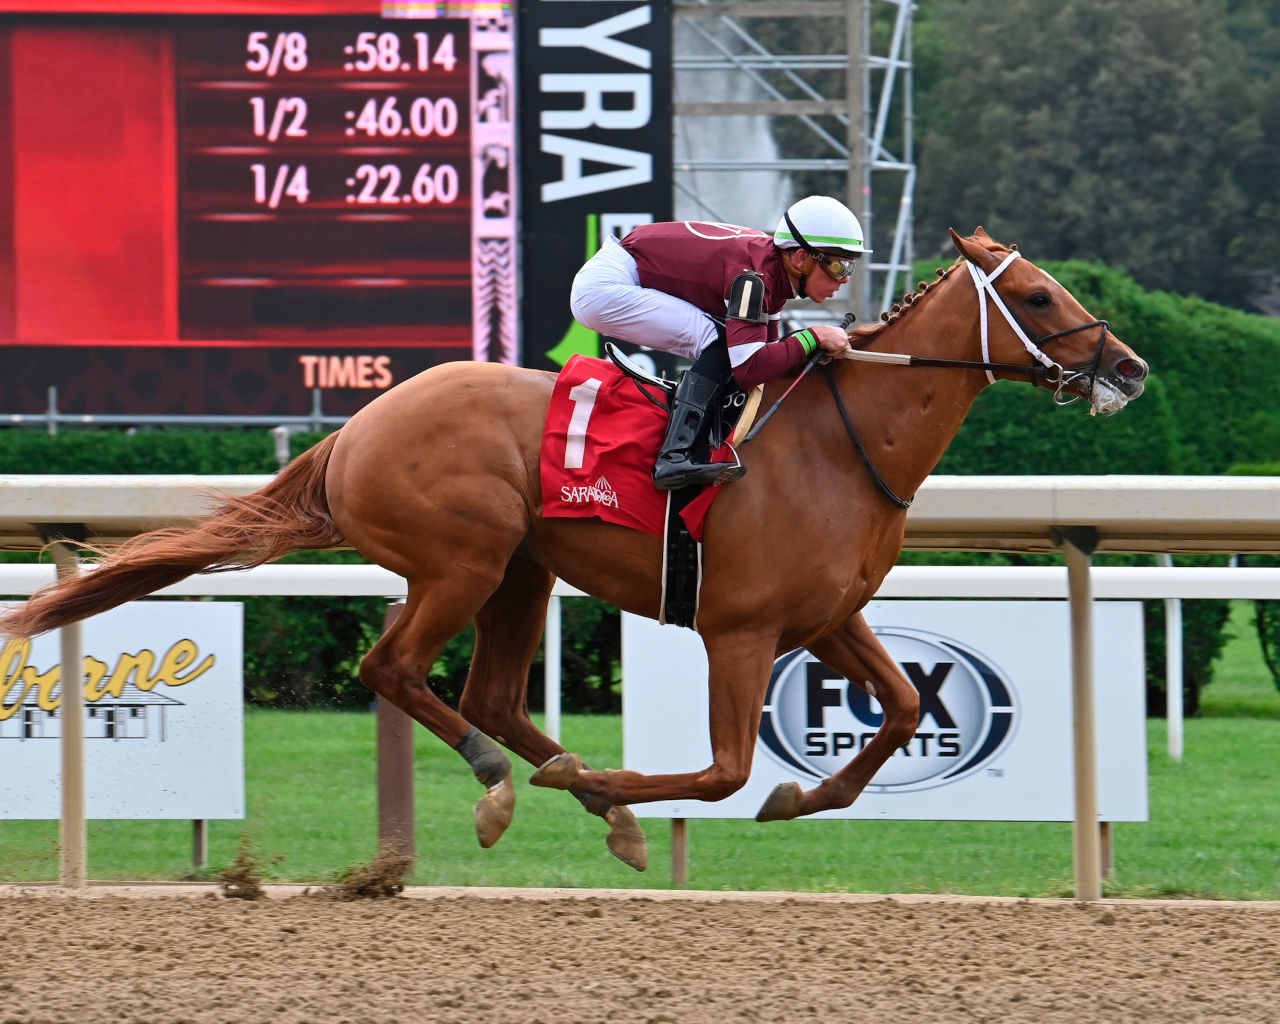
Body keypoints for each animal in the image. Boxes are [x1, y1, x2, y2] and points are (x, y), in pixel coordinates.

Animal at [0, 231, 1146, 870]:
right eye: (1037, 297)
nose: (1129, 368)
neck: (836, 445)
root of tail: (356, 426)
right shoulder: (738, 630)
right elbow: (723, 771)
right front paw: (648, 791)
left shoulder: (826, 617)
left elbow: (903, 710)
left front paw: (796, 797)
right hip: (461, 561)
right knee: (395, 668)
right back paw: (513, 783)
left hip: (523, 567)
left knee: (492, 694)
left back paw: (576, 786)